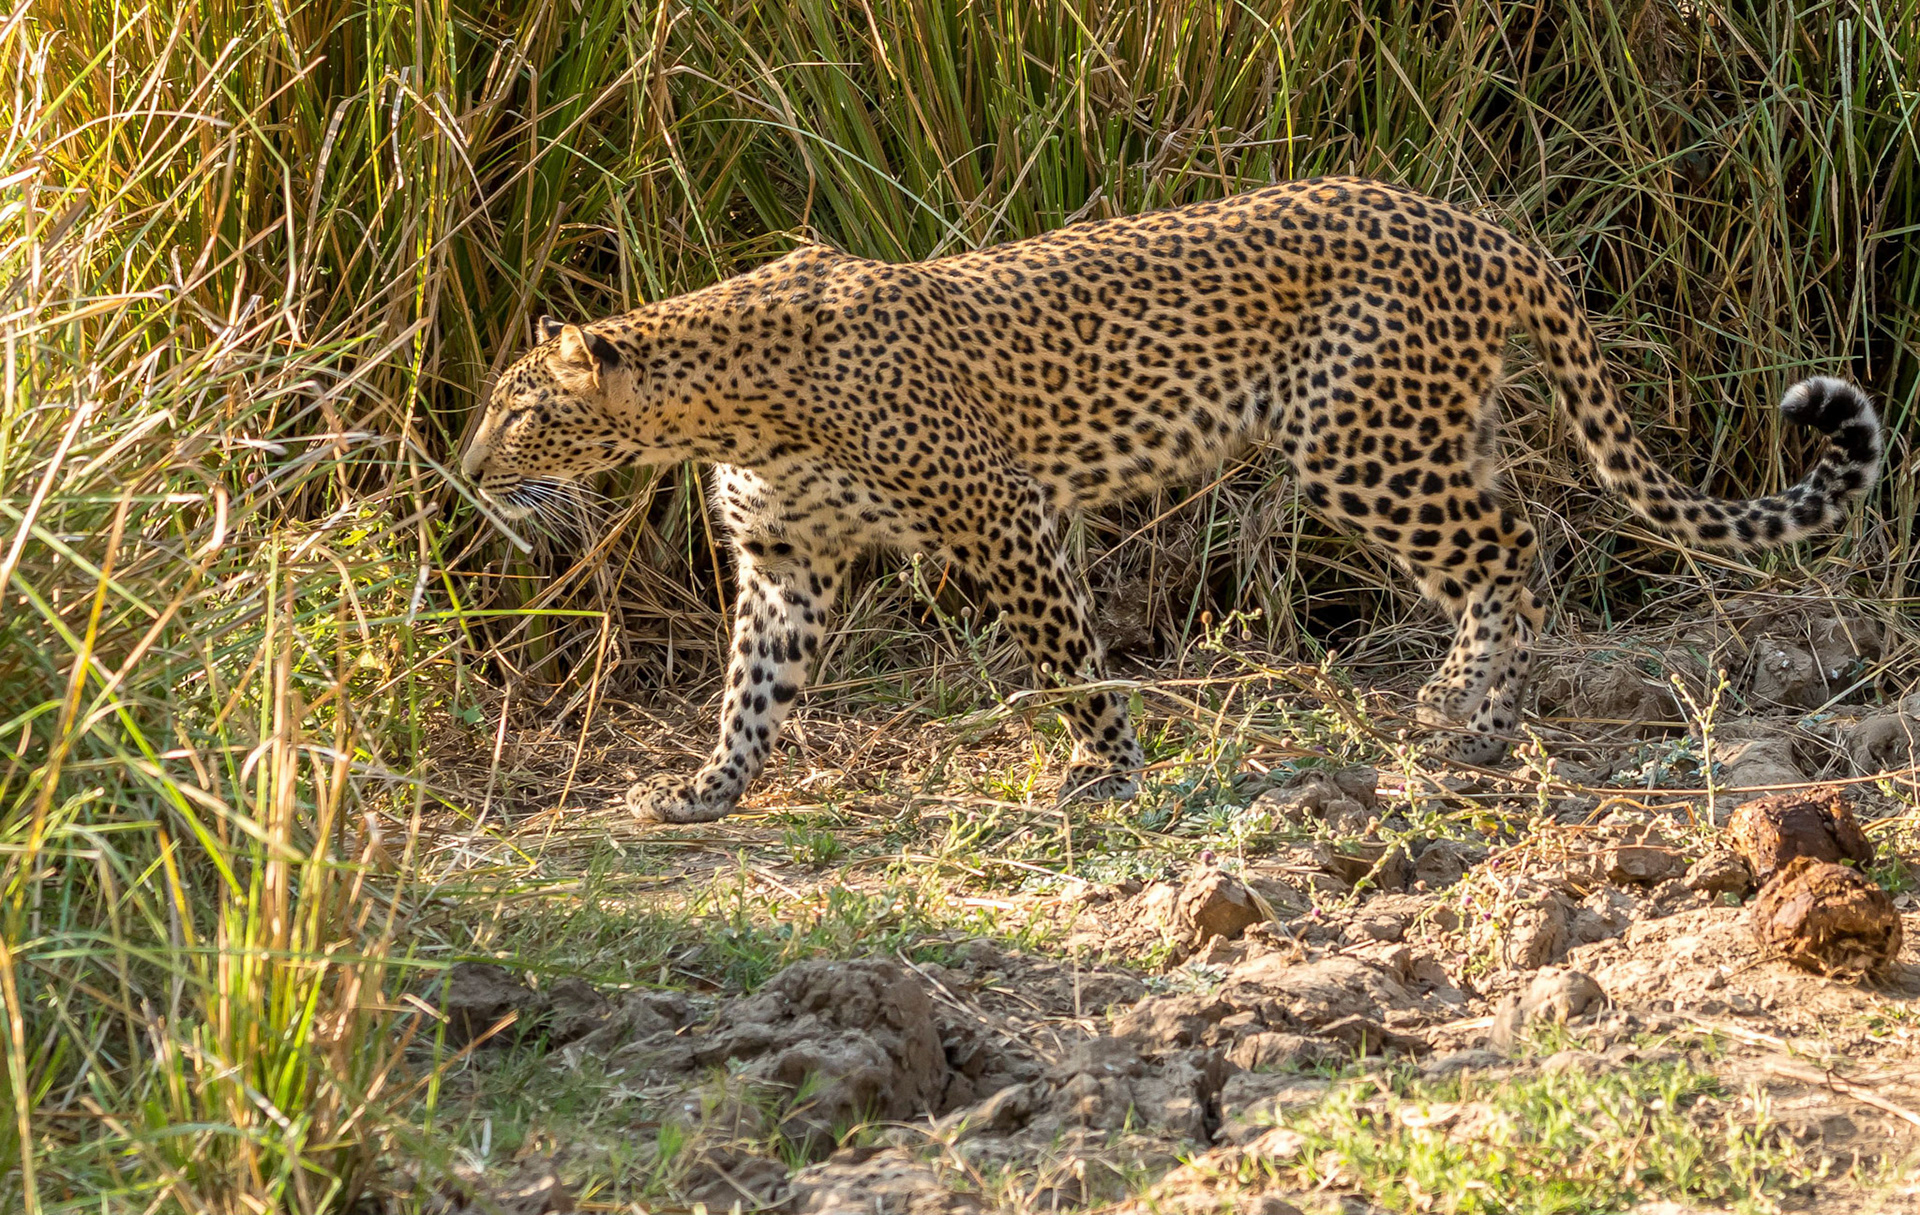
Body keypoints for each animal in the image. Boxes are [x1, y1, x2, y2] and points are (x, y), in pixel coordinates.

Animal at [461, 176, 1882, 825]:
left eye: (521, 412)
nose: (465, 472)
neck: (724, 397)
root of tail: (1476, 224)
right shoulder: (782, 561)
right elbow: (752, 685)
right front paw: (706, 790)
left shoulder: (1004, 514)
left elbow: (1069, 659)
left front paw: (1104, 771)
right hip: (1426, 428)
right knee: (1510, 538)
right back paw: (1465, 702)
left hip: (1361, 440)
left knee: (1511, 548)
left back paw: (1468, 720)